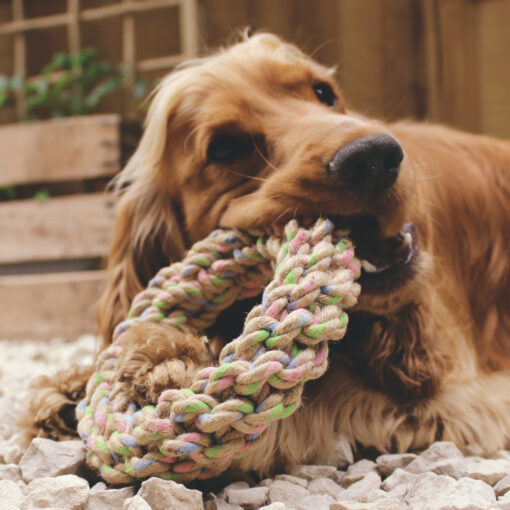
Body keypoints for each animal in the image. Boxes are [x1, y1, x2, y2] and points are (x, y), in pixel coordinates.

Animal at [22, 33, 510, 476]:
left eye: (324, 93)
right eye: (224, 147)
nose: (374, 157)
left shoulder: (462, 398)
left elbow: (309, 405)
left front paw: (165, 368)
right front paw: (73, 387)